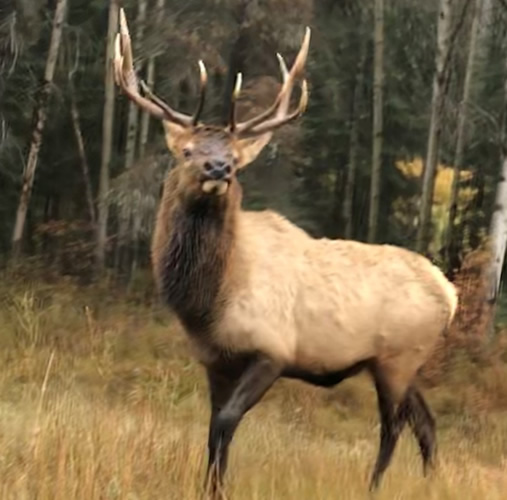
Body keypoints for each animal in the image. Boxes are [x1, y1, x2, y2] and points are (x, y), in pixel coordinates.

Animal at [115, 8, 460, 500]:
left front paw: (220, 487)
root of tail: (449, 294)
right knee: (427, 425)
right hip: (404, 363)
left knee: (392, 428)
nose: (219, 168)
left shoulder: (272, 350)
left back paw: (372, 487)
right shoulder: (215, 361)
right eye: (187, 151)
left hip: (399, 356)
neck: (208, 303)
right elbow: (211, 428)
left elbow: (225, 422)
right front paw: (211, 486)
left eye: (236, 158)